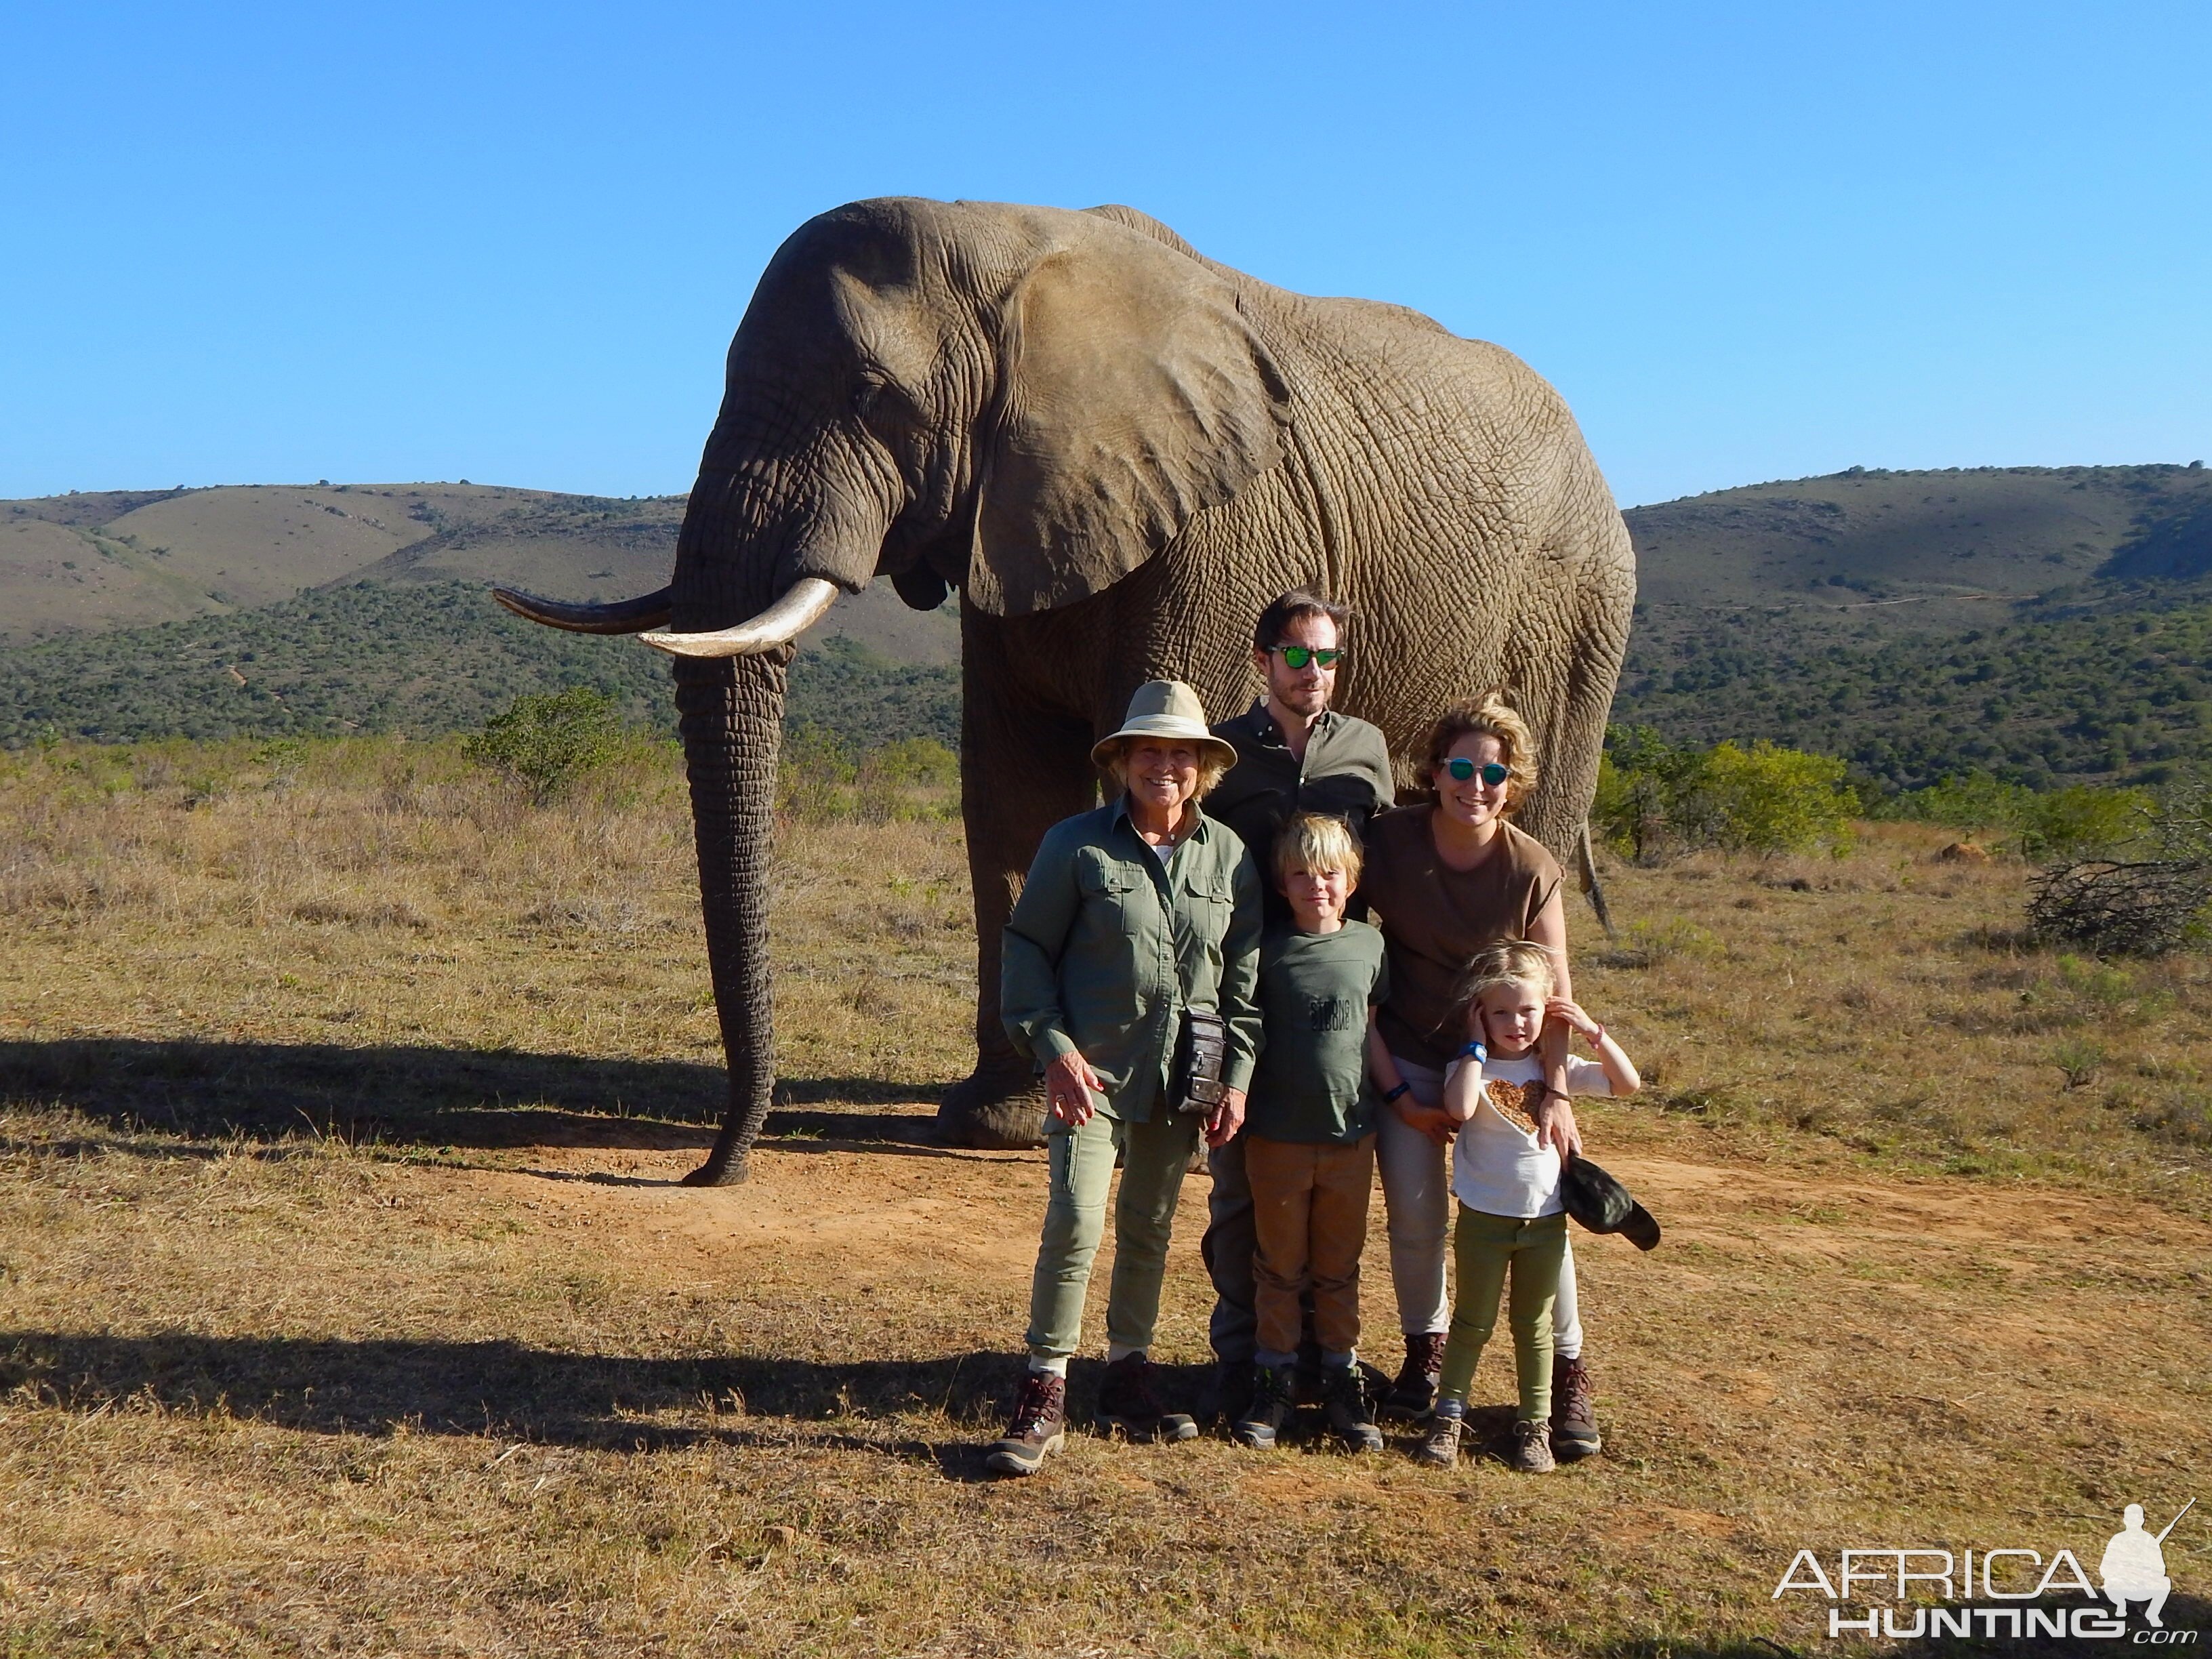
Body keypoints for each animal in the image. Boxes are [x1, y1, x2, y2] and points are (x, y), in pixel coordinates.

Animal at [506, 198, 1645, 1185]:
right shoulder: (1011, 514)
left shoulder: (1216, 532)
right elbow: (1009, 789)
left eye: (872, 395)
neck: (1014, 249)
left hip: (1583, 605)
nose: (712, 1171)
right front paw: (1007, 1120)